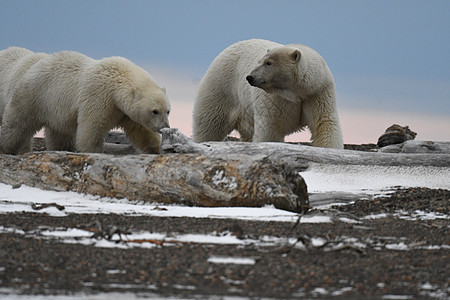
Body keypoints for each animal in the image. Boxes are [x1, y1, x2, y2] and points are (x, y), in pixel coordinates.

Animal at [0, 47, 171, 155]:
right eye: (155, 111)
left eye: (168, 110)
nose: (165, 127)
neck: (118, 80)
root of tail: (34, 66)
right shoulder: (99, 96)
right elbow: (92, 127)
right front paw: (92, 151)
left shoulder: (124, 111)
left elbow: (141, 130)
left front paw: (155, 150)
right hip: (35, 95)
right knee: (18, 124)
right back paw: (6, 148)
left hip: (55, 110)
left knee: (60, 134)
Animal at [192, 38, 342, 149]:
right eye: (259, 61)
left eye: (268, 63)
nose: (250, 77)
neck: (296, 92)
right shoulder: (275, 99)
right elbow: (271, 130)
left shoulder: (317, 93)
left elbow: (324, 122)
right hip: (221, 87)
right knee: (209, 123)